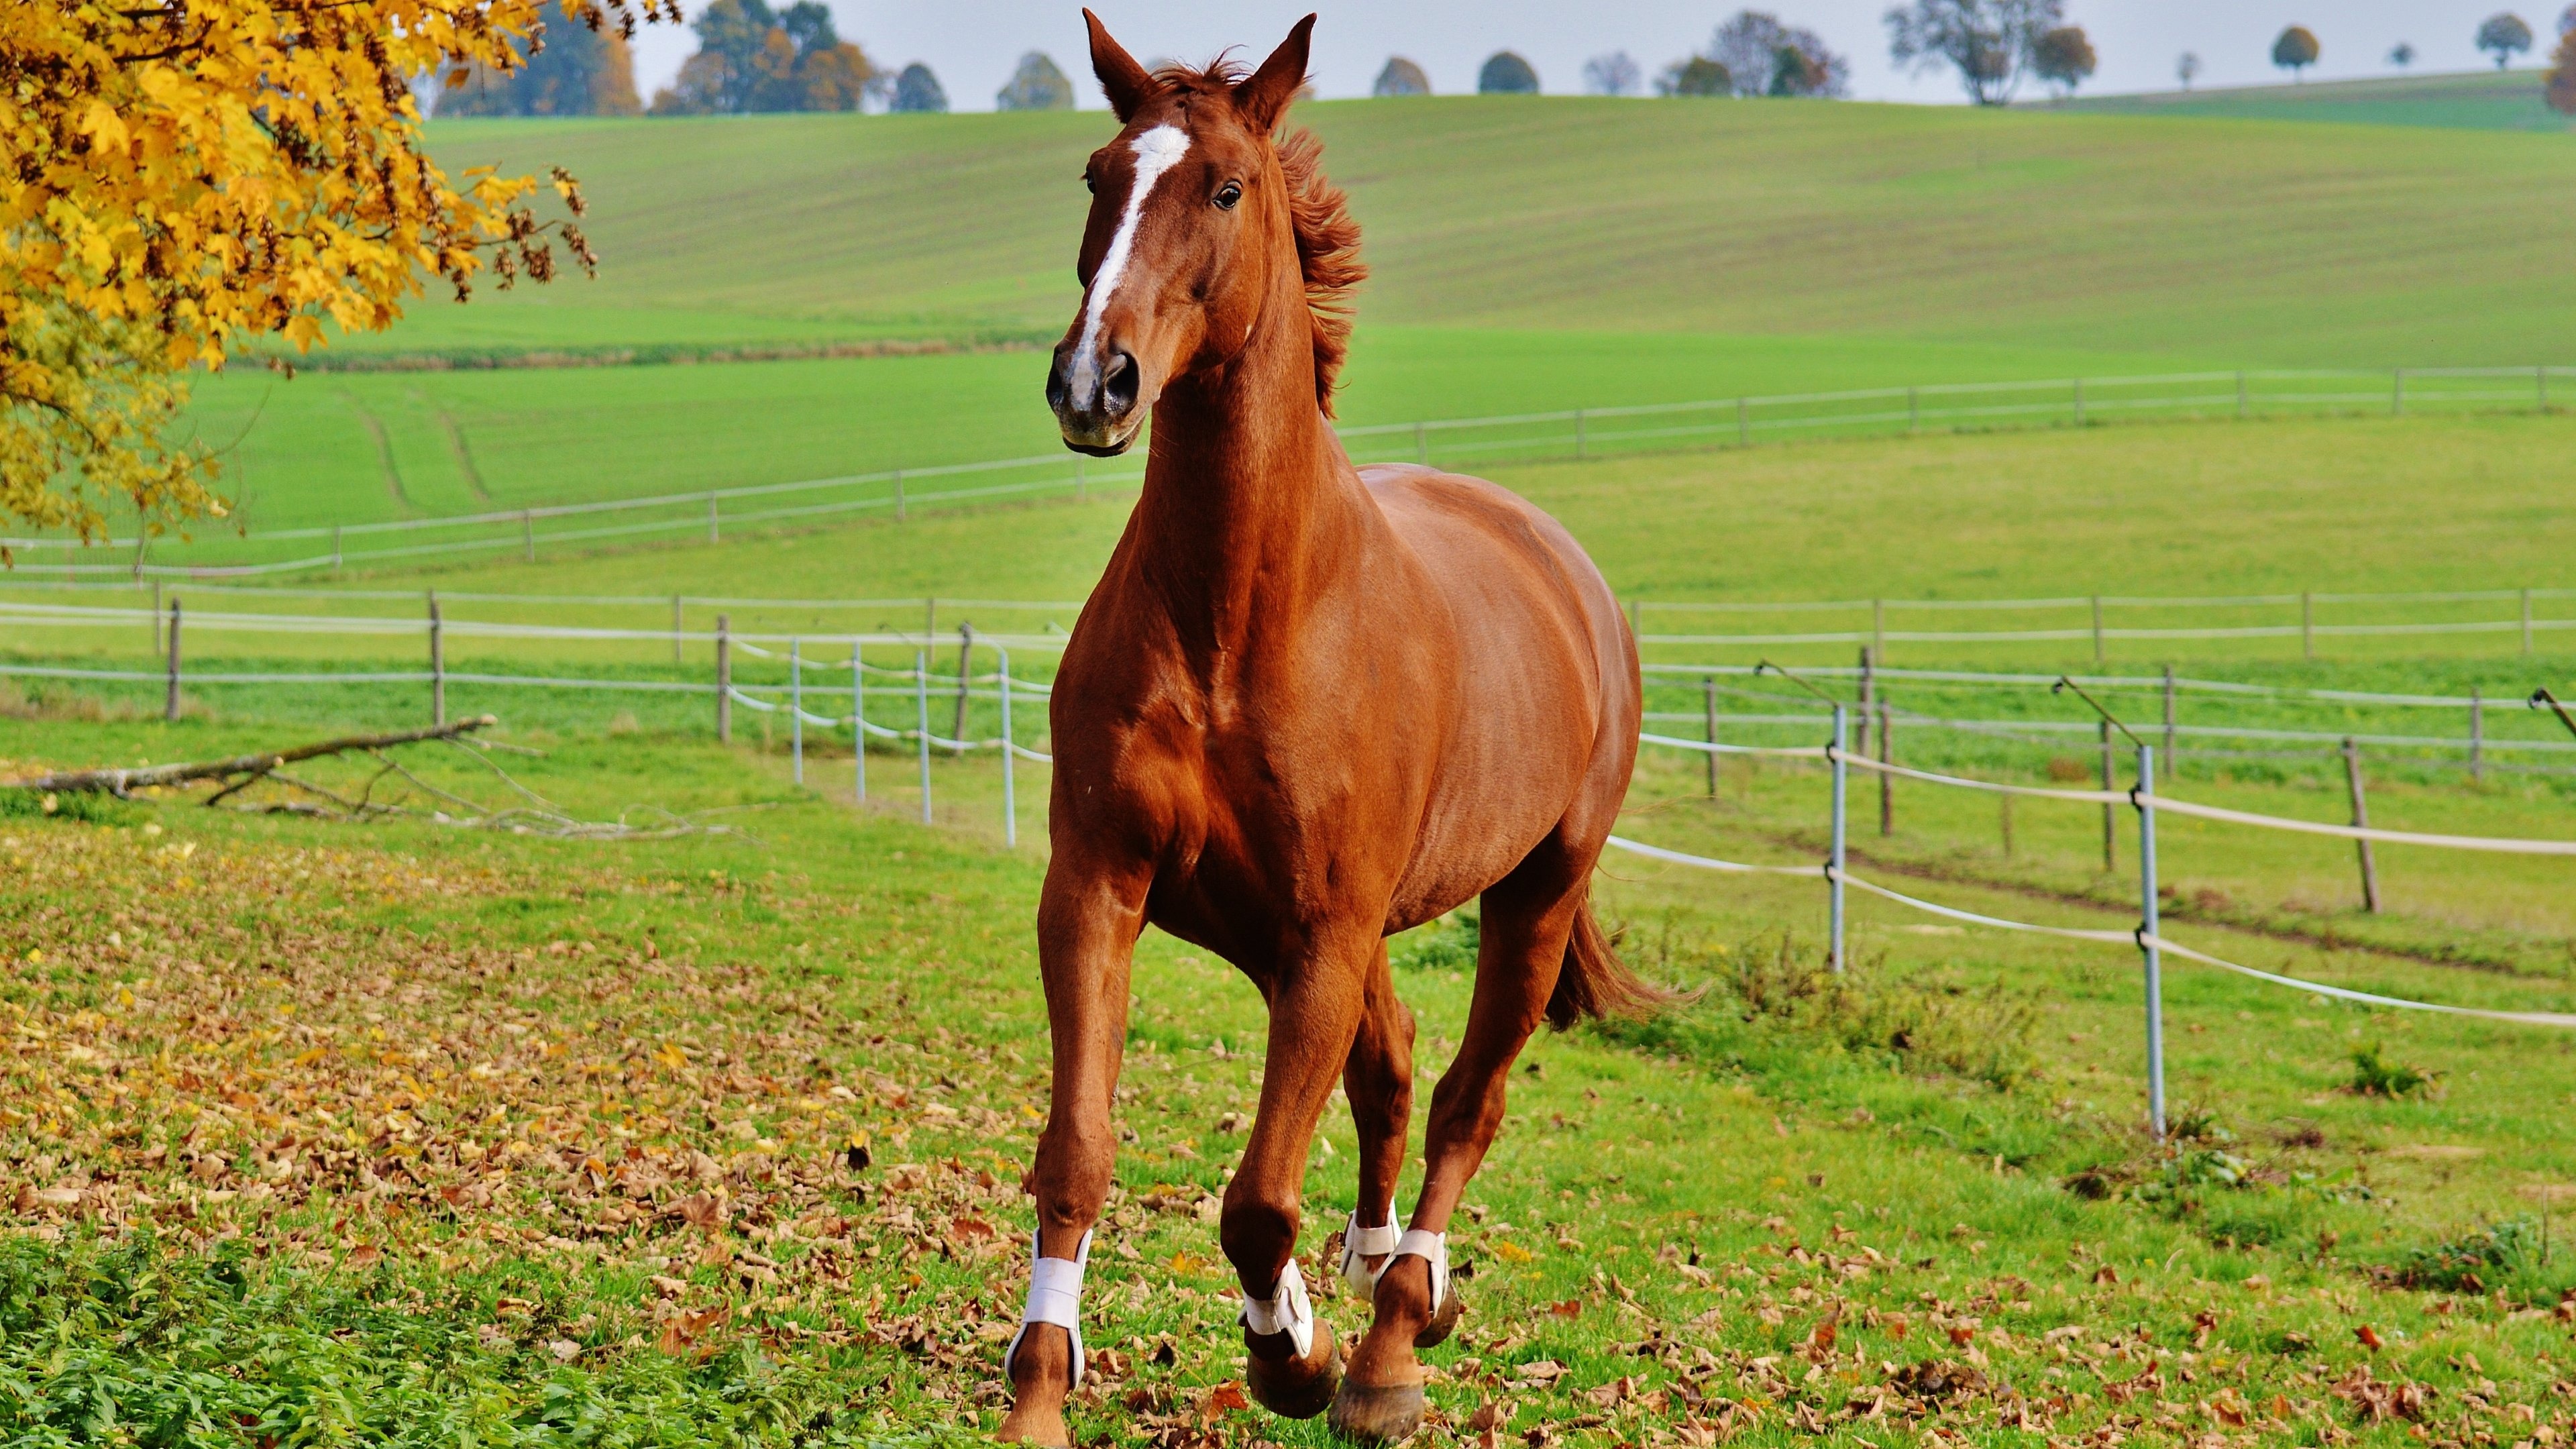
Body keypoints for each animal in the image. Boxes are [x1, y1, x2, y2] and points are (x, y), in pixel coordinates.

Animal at [994, 14, 1658, 1444]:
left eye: (1227, 189)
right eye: (1097, 175)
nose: (1095, 382)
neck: (1238, 620)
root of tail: (1569, 572)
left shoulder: (1324, 933)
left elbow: (1256, 1199)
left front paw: (1291, 1356)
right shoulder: (1102, 889)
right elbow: (1078, 1152)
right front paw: (1039, 1397)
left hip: (1526, 900)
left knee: (1465, 1099)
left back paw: (1395, 1336)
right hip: (1292, 935)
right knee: (1394, 1070)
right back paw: (1372, 1277)